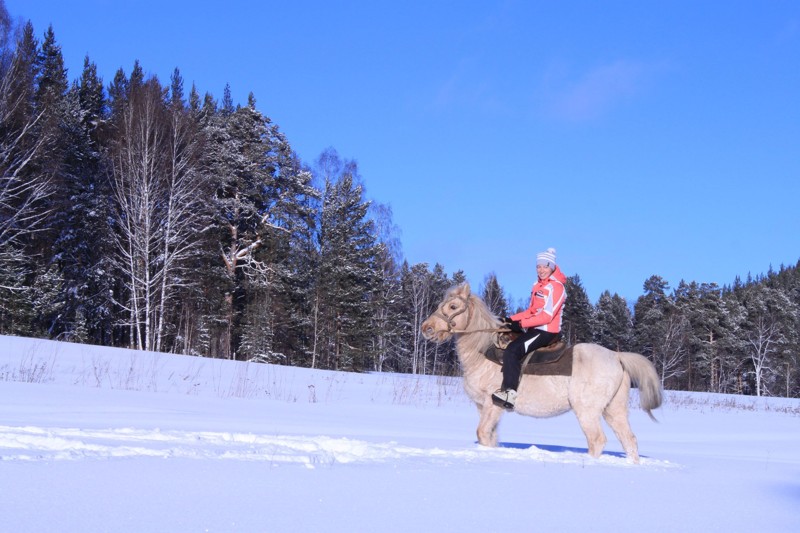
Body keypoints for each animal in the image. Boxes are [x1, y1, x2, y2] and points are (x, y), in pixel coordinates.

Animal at [418, 282, 664, 462]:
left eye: (452, 307)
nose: (426, 328)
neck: (483, 351)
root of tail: (617, 356)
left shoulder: (492, 404)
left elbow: (482, 433)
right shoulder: (483, 407)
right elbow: (490, 437)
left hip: (588, 411)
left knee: (597, 440)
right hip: (614, 410)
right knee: (629, 441)